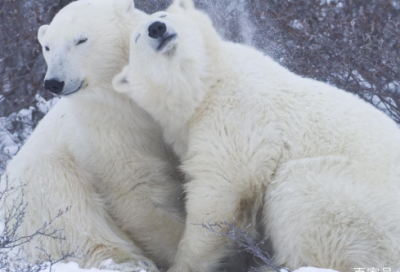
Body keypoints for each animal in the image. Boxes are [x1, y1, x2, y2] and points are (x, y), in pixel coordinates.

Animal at [1, 0, 187, 272]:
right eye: (48, 47)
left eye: (81, 40)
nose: (54, 82)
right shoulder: (107, 128)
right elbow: (137, 189)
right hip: (31, 192)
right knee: (65, 200)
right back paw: (129, 262)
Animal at [113, 2, 400, 272]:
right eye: (137, 37)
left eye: (164, 16)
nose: (156, 29)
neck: (206, 85)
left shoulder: (236, 114)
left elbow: (220, 189)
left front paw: (185, 263)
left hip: (357, 207)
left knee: (298, 192)